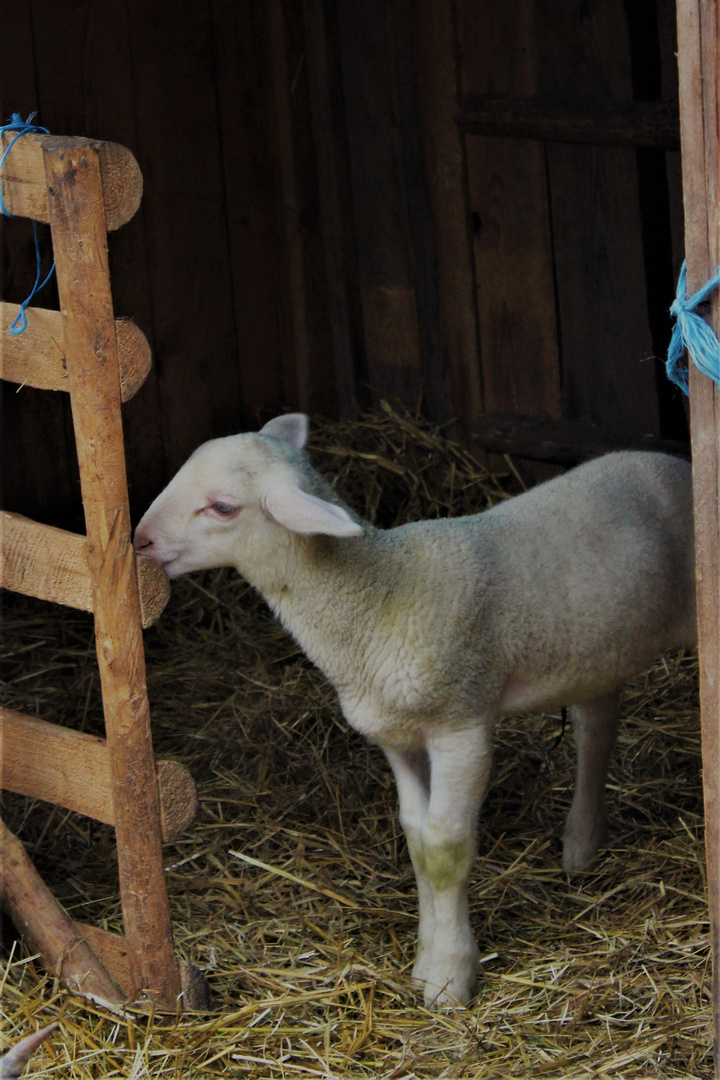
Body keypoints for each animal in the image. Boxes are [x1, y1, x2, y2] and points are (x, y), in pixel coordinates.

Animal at [134, 410, 699, 1002]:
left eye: (222, 506)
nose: (139, 540)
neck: (381, 593)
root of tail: (671, 461)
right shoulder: (398, 736)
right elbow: (416, 841)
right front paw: (426, 959)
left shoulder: (460, 725)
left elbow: (445, 849)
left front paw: (450, 978)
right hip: (595, 646)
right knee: (596, 725)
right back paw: (582, 845)